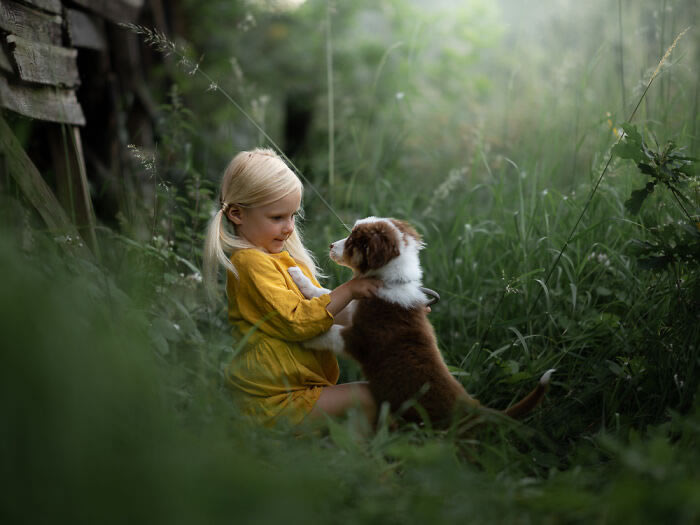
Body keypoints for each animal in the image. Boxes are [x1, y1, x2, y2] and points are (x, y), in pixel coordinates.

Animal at [288, 216, 556, 426]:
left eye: (354, 240)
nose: (331, 245)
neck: (390, 281)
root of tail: (474, 408)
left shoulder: (364, 338)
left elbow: (332, 333)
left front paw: (305, 339)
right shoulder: (354, 308)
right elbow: (326, 296)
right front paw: (298, 276)